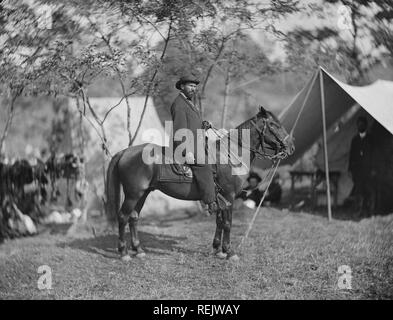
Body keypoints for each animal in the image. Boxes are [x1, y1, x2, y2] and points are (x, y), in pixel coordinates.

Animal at [105, 106, 294, 262]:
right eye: (274, 125)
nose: (291, 147)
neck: (230, 156)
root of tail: (125, 152)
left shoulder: (221, 198)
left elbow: (219, 221)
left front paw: (217, 249)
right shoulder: (229, 196)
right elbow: (227, 223)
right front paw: (229, 252)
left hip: (143, 193)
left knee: (133, 217)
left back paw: (138, 250)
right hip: (133, 194)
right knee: (123, 217)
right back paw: (124, 253)